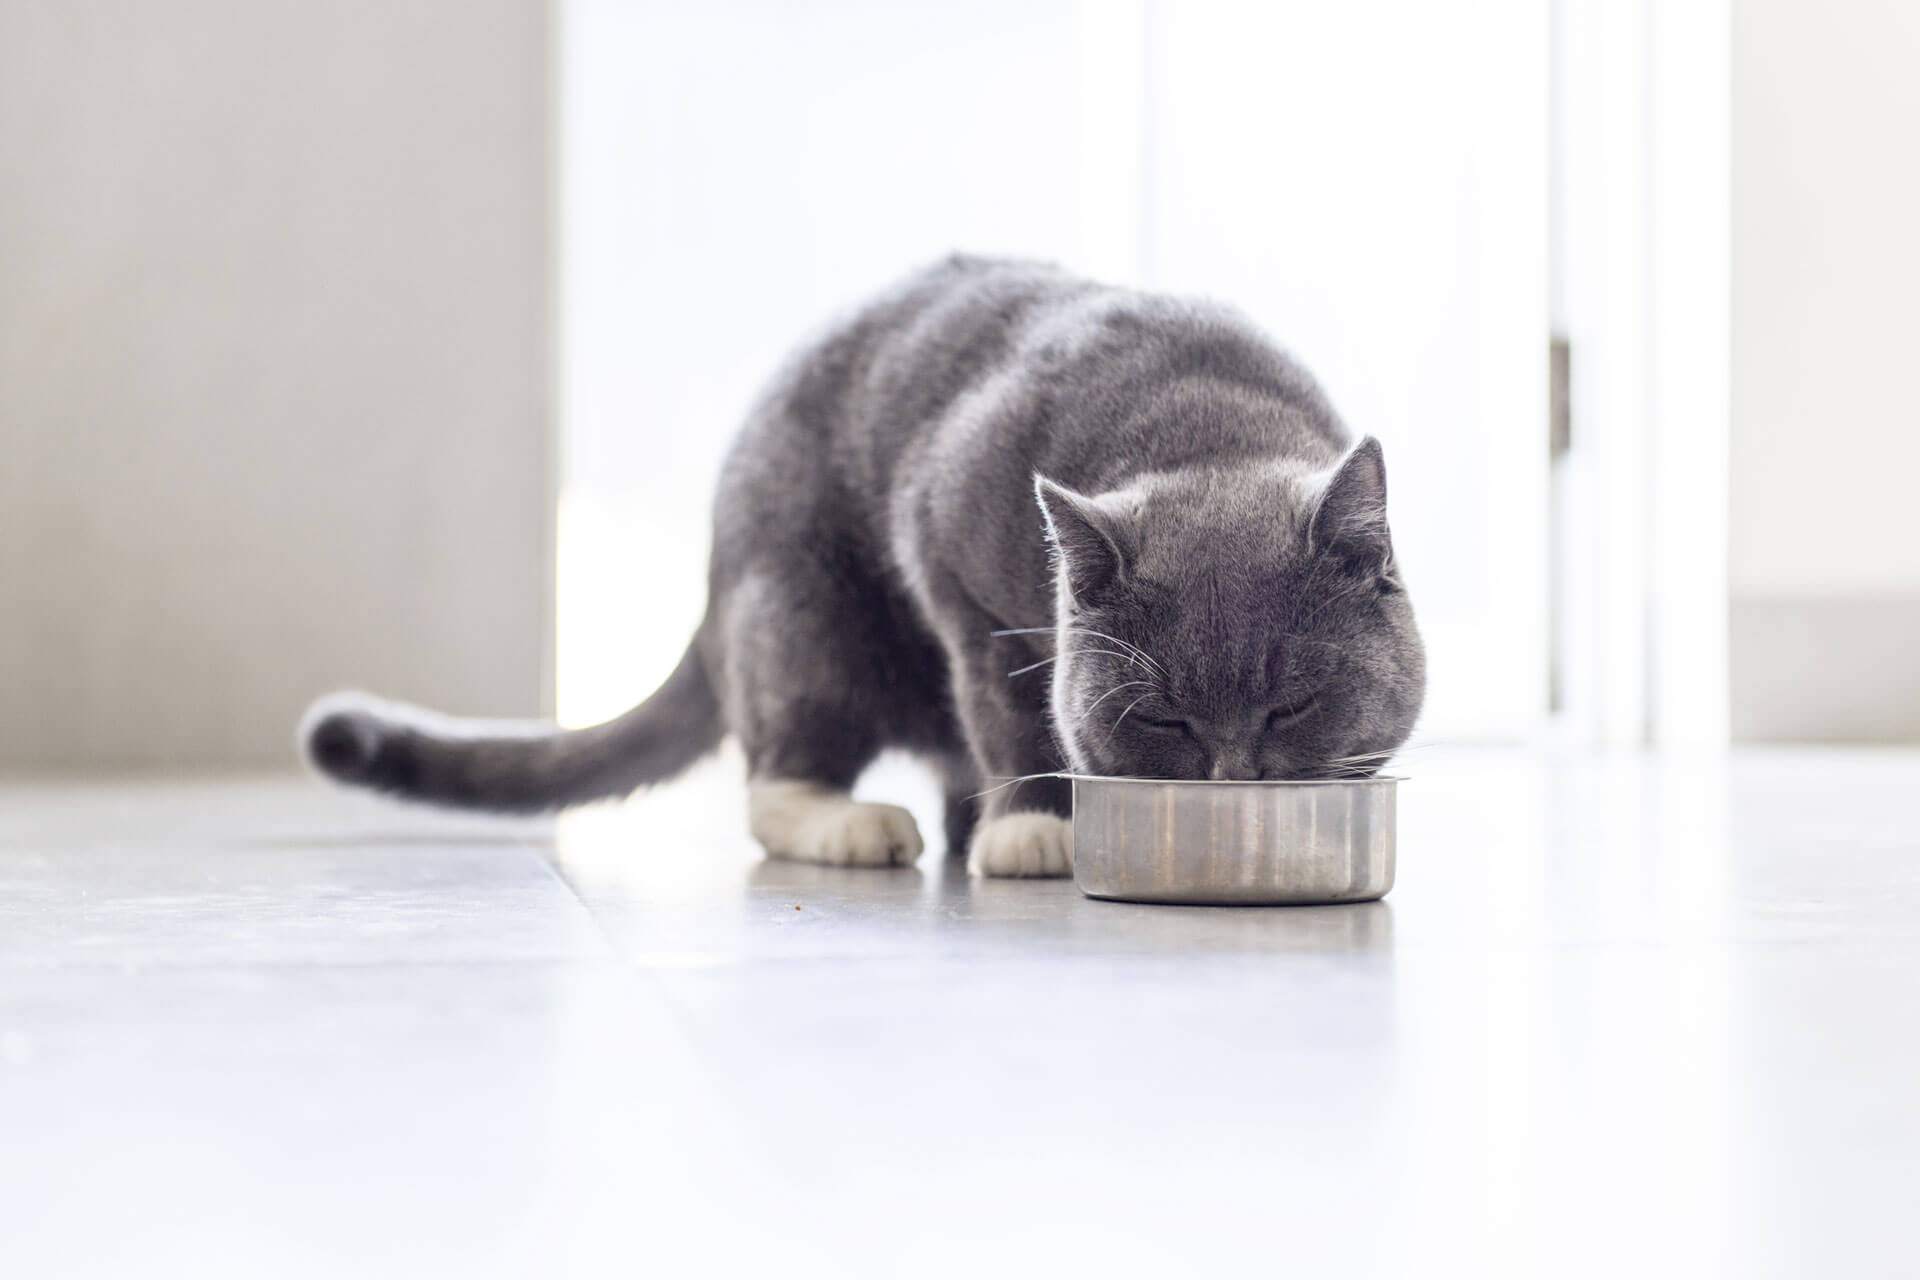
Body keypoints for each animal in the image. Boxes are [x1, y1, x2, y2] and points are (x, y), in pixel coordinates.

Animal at [303, 260, 1428, 882]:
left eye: (1294, 703)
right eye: (1165, 719)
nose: (1236, 783)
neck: (1205, 424)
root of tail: (712, 587)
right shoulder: (948, 555)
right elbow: (1008, 705)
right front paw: (1036, 826)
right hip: (804, 613)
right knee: (776, 772)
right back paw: (860, 822)